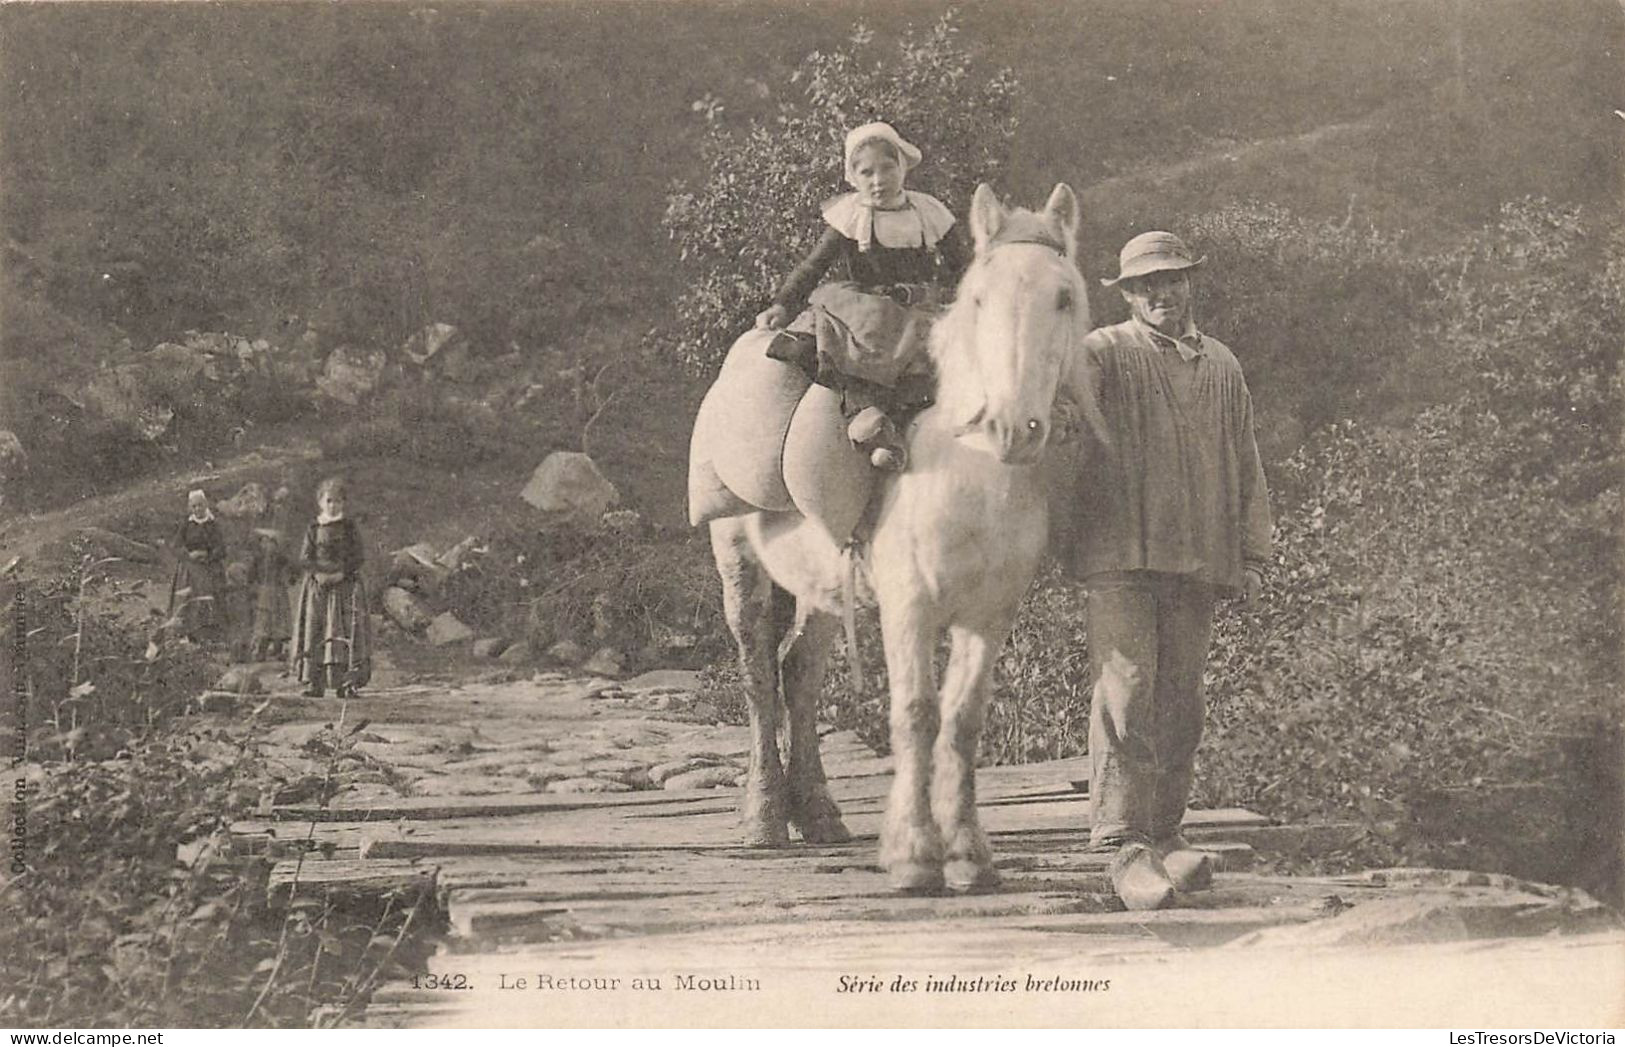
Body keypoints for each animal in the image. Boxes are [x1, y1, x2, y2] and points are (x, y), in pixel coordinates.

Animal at [711, 182, 1092, 890]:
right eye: (978, 297)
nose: (1011, 429)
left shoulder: (989, 616)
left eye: (1064, 297)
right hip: (738, 565)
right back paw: (764, 818)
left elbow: (963, 721)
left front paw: (967, 854)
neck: (968, 476)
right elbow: (916, 713)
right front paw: (915, 854)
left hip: (824, 588)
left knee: (799, 673)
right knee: (756, 676)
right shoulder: (909, 608)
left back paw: (820, 813)